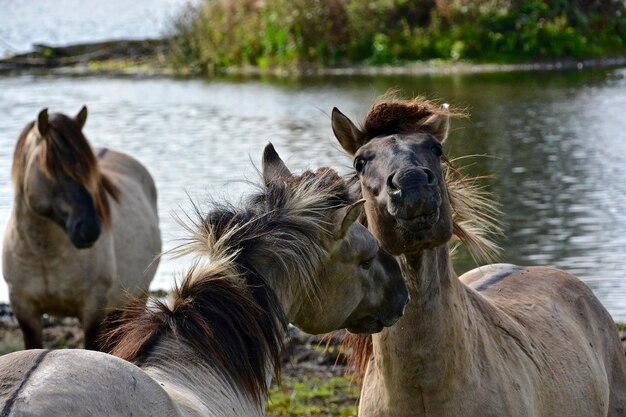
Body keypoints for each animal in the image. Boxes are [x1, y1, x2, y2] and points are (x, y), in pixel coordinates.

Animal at [2, 106, 161, 348]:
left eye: (88, 173)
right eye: (50, 168)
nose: (90, 229)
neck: (43, 253)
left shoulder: (93, 310)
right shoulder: (24, 310)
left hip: (134, 300)